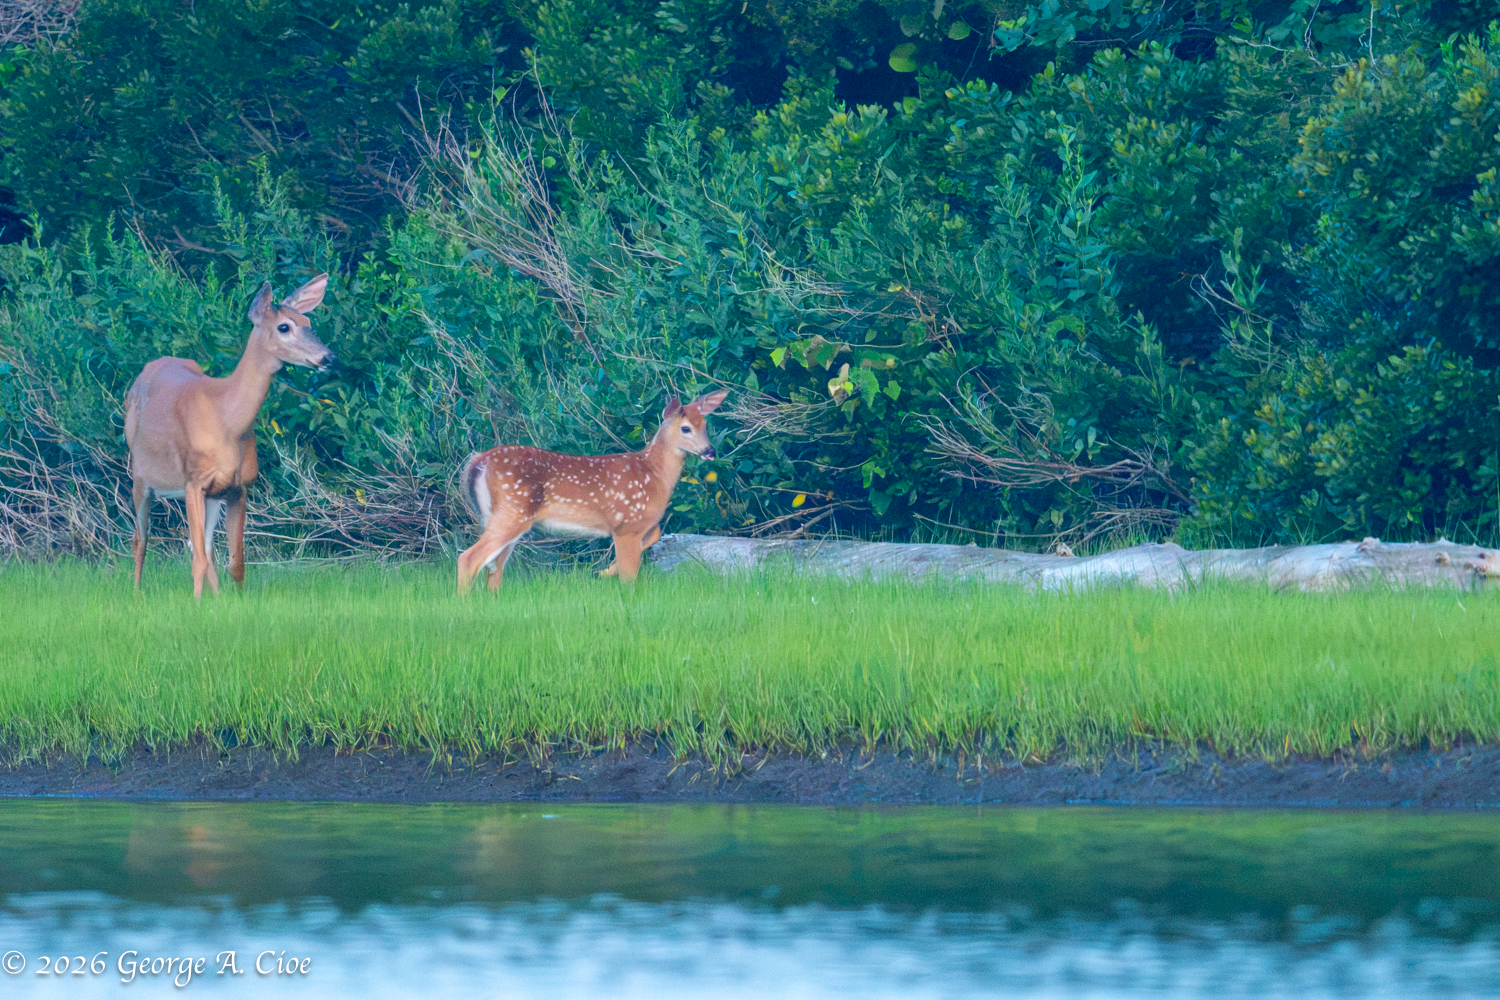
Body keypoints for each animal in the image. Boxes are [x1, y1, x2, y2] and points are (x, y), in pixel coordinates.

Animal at [124, 274, 333, 598]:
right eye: (284, 327)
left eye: (308, 321)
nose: (328, 357)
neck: (227, 421)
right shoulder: (193, 482)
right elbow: (197, 559)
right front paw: (197, 606)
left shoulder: (238, 487)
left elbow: (235, 562)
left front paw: (228, 602)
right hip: (140, 475)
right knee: (140, 539)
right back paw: (136, 594)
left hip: (213, 494)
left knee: (205, 547)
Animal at [457, 388, 729, 594]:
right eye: (685, 428)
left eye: (705, 424)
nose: (710, 451)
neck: (655, 475)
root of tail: (478, 460)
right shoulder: (626, 524)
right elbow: (630, 575)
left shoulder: (640, 525)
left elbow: (655, 535)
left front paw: (604, 571)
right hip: (514, 510)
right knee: (469, 559)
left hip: (500, 515)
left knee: (494, 568)